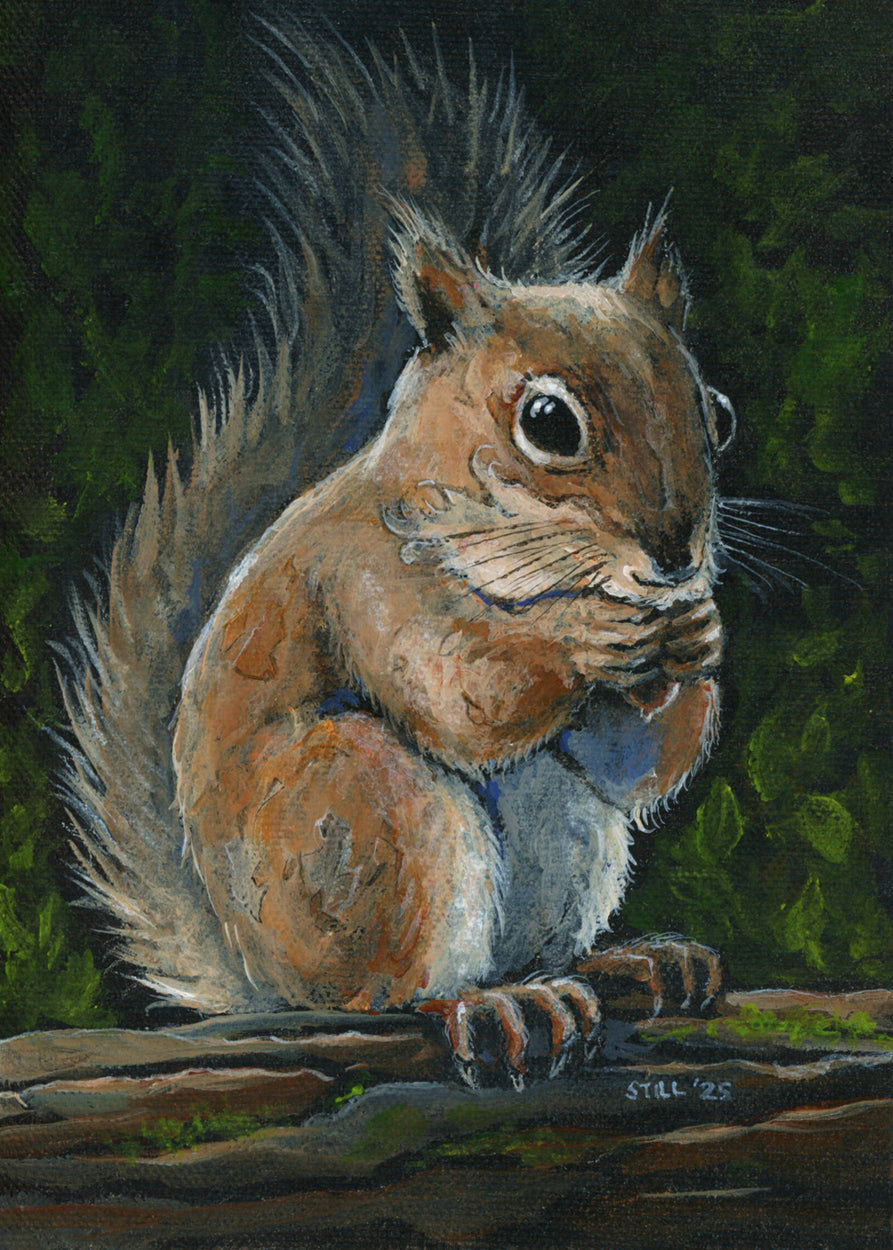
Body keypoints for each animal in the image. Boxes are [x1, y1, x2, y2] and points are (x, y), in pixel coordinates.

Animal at [60, 18, 732, 1082]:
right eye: (548, 423)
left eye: (718, 415)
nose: (674, 554)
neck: (525, 574)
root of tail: (261, 980)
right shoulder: (364, 578)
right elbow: (459, 697)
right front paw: (584, 639)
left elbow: (631, 767)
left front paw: (696, 636)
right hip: (365, 809)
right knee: (383, 988)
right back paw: (491, 1004)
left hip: (567, 840)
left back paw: (625, 963)